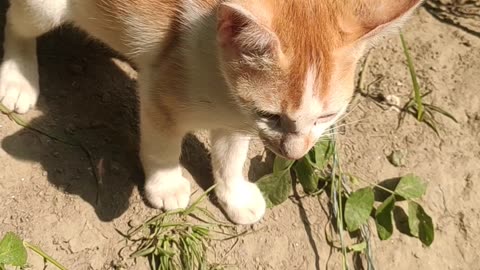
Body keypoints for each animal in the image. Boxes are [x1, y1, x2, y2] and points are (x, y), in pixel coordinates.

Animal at [0, 0, 420, 224]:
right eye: (272, 115)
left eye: (326, 117)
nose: (296, 153)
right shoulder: (161, 93)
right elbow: (162, 146)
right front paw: (166, 185)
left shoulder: (236, 119)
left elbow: (231, 158)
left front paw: (234, 196)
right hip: (45, 9)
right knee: (16, 23)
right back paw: (18, 77)